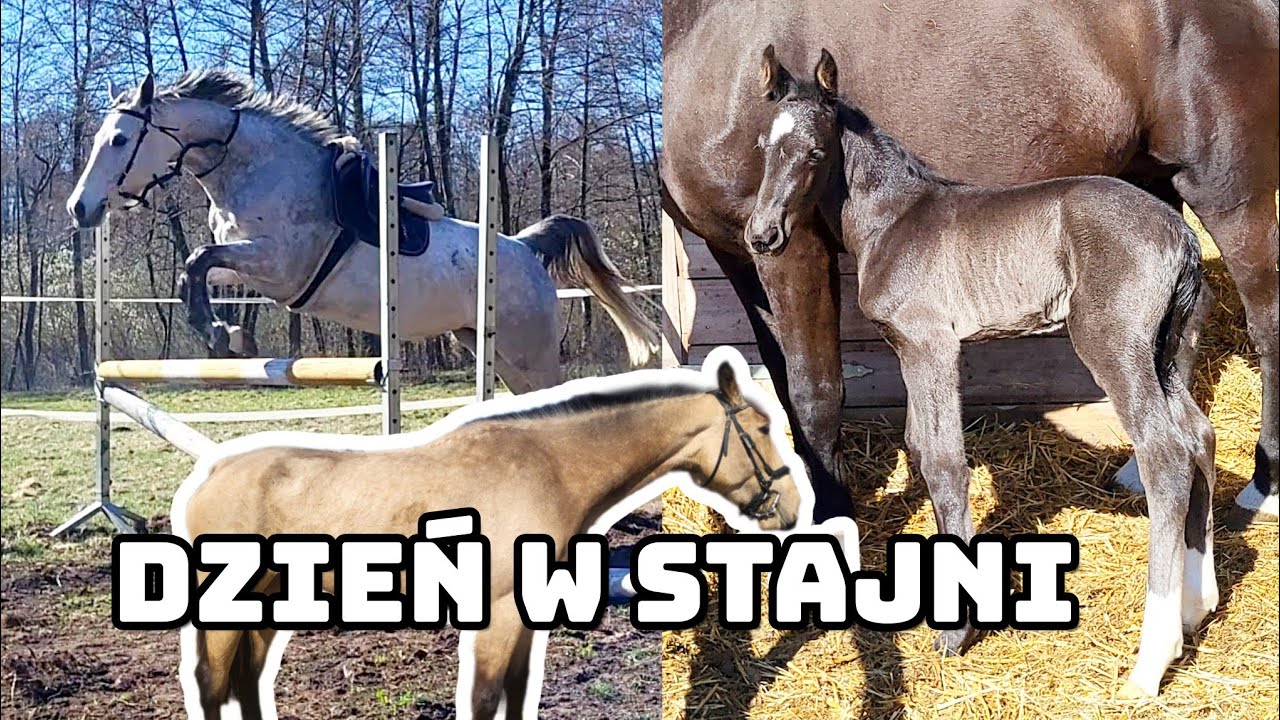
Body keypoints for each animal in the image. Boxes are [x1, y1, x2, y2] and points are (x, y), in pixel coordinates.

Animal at [66, 70, 659, 393]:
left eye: (120, 140)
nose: (80, 208)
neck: (256, 167)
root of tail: (523, 248)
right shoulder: (252, 264)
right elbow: (201, 268)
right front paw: (228, 333)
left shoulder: (281, 265)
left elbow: (199, 259)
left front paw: (216, 333)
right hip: (492, 347)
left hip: (529, 347)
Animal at [171, 350, 809, 719]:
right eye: (760, 427)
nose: (794, 508)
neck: (548, 467)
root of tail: (211, 475)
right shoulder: (497, 614)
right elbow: (483, 698)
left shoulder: (526, 614)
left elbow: (516, 693)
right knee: (211, 684)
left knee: (245, 682)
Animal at [661, 0, 1279, 526]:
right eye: (763, 147)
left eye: (815, 152)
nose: (764, 232)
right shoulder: (739, 257)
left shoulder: (827, 269)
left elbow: (828, 401)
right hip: (1154, 198)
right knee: (1186, 386)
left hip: (1227, 192)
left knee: (1253, 336)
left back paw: (1261, 487)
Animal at [748, 46, 1218, 697]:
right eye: (763, 147)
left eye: (815, 153)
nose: (762, 235)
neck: (893, 220)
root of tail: (1183, 237)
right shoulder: (907, 348)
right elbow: (920, 447)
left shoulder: (932, 345)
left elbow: (945, 464)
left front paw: (955, 632)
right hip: (1169, 350)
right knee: (1199, 438)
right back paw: (1196, 606)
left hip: (1114, 344)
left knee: (1166, 454)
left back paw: (1151, 661)